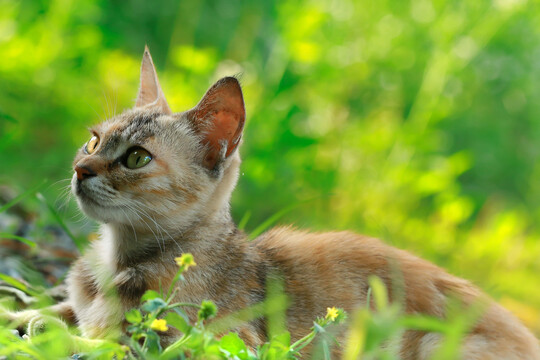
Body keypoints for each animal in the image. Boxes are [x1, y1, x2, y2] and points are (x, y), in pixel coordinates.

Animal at [7, 47, 540, 358]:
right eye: (94, 141)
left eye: (137, 158)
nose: (81, 169)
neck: (115, 260)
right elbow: (64, 308)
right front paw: (21, 314)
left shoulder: (216, 343)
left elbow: (111, 340)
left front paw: (50, 331)